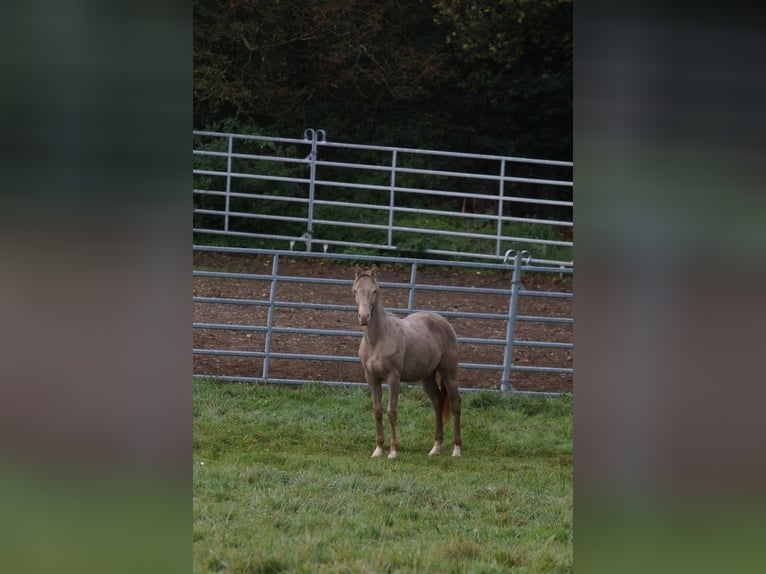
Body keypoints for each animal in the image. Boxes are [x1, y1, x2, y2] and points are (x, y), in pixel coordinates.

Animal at [352, 266, 462, 460]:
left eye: (375, 291)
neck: (378, 339)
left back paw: (456, 450)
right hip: (427, 377)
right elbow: (377, 411)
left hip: (449, 373)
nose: (364, 317)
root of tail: (444, 322)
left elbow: (392, 412)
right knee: (437, 403)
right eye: (355, 290)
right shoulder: (371, 378)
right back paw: (435, 448)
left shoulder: (393, 377)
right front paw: (378, 450)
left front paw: (393, 451)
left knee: (456, 404)